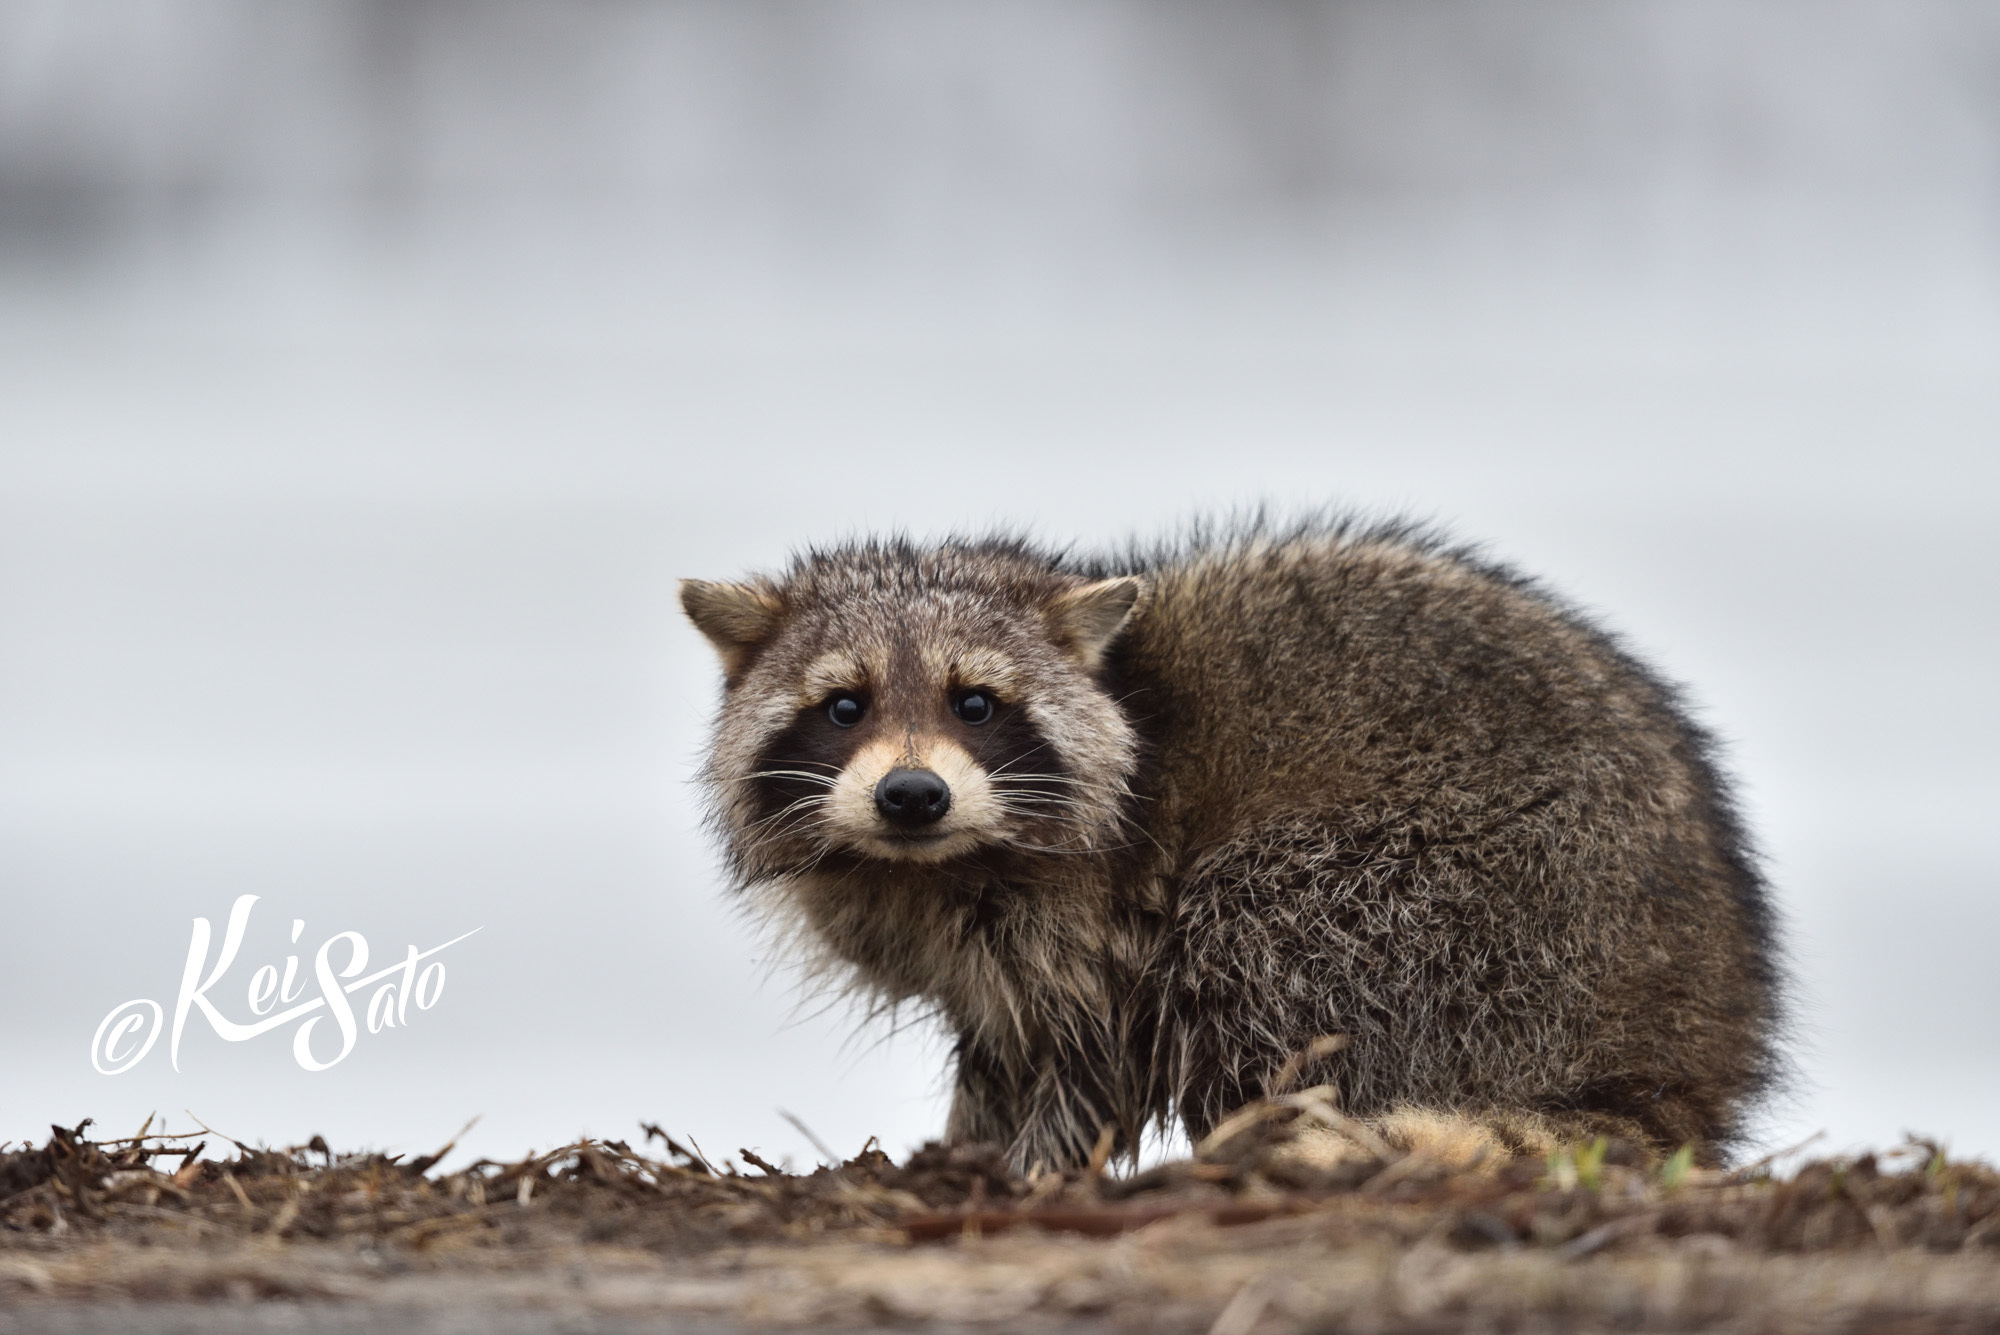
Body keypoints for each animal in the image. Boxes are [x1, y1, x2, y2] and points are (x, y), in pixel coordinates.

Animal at [684, 519, 1784, 1167]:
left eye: (975, 703)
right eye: (843, 706)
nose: (912, 795)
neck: (932, 861)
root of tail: (1682, 1051)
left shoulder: (1101, 911)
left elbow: (1096, 1057)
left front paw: (1033, 1168)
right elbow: (1000, 1043)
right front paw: (967, 1145)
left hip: (1463, 912)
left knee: (1244, 928)